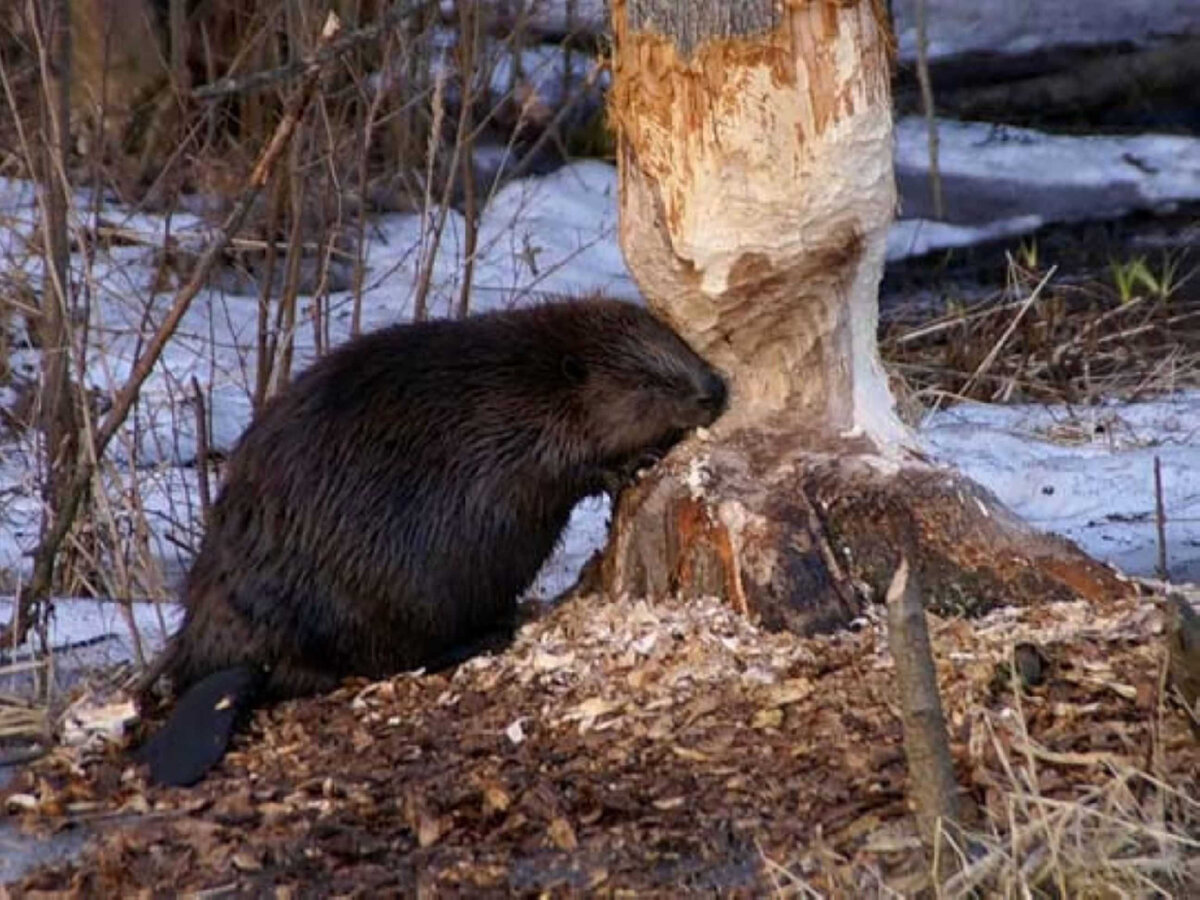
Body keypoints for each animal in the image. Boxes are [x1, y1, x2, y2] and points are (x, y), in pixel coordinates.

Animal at [136, 300, 724, 787]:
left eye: (679, 345)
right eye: (648, 380)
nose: (713, 390)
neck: (530, 381)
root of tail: (222, 662)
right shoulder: (523, 437)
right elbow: (570, 469)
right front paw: (636, 461)